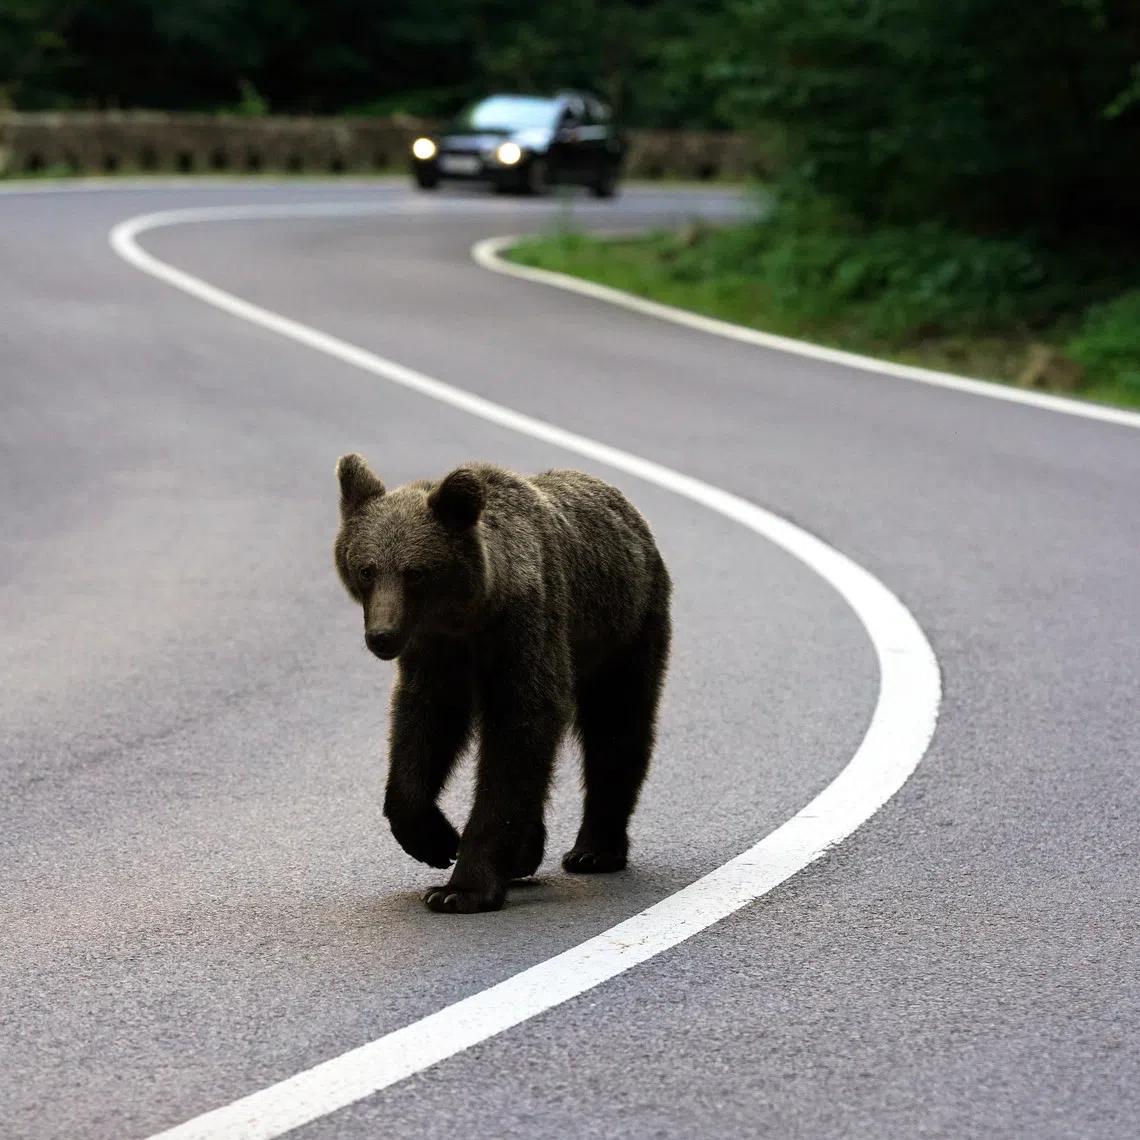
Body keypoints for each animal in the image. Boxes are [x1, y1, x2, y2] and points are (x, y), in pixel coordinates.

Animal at [333, 454, 672, 913]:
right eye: (367, 569)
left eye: (415, 572)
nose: (382, 636)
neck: (467, 616)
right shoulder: (436, 653)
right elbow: (422, 728)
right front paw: (436, 839)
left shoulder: (524, 630)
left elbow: (520, 734)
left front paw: (461, 887)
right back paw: (527, 852)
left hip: (625, 627)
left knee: (616, 725)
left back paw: (594, 850)